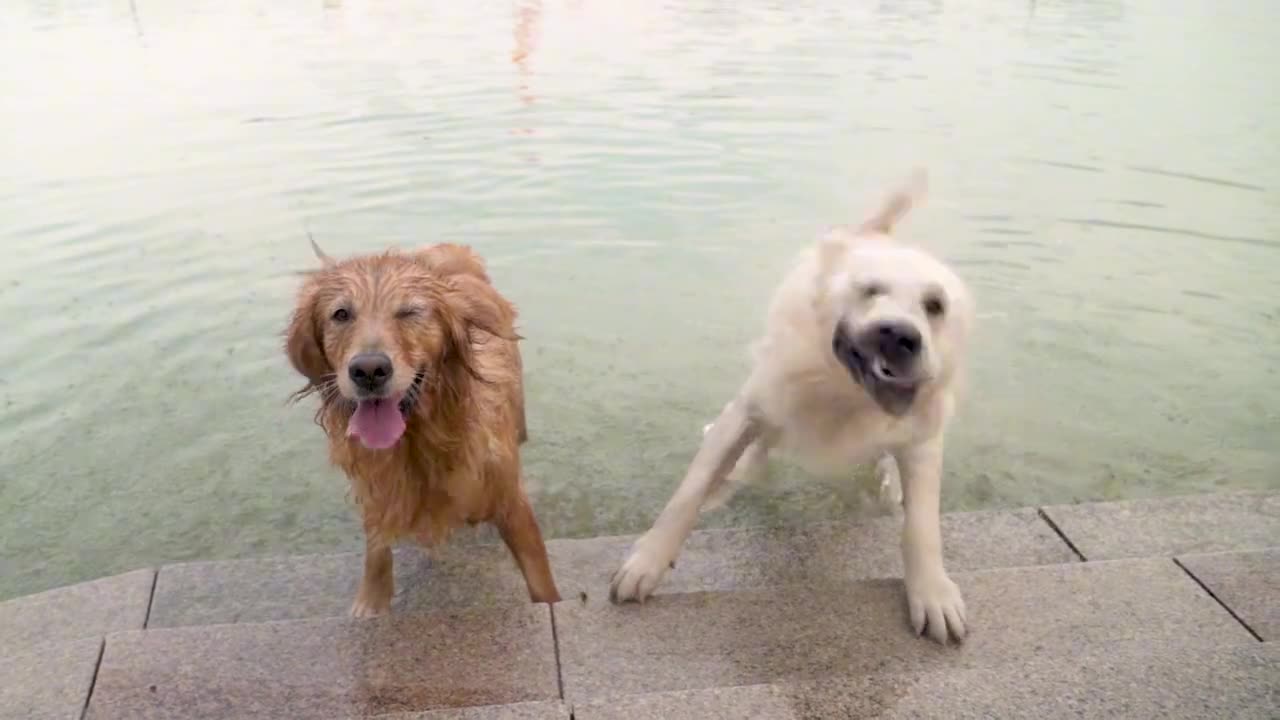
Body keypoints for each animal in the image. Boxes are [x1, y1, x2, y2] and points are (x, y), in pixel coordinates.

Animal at [606, 170, 967, 640]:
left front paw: (932, 592)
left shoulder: (922, 439)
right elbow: (686, 495)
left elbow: (922, 526)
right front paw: (647, 562)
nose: (899, 335)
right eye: (870, 290)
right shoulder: (750, 410)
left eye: (934, 306)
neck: (844, 393)